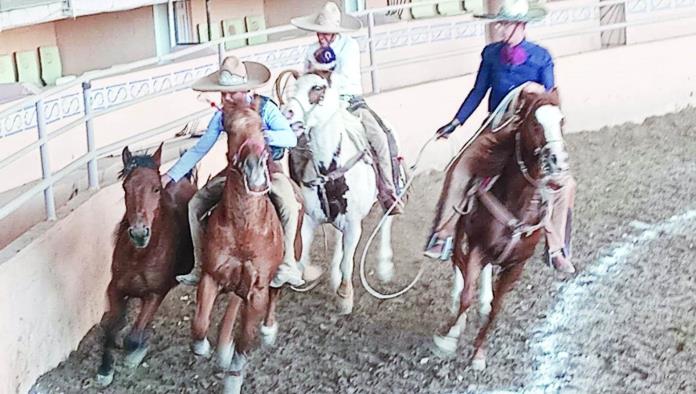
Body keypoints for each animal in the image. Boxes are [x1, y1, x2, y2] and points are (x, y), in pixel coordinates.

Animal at [96, 143, 197, 386]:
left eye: (156, 189)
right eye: (126, 187)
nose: (140, 233)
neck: (139, 256)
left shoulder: (154, 294)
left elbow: (132, 338)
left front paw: (136, 352)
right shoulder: (115, 288)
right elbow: (111, 328)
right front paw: (105, 369)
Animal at [189, 102, 290, 394]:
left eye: (262, 127)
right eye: (230, 128)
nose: (254, 169)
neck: (245, 230)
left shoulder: (257, 290)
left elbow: (245, 337)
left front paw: (234, 376)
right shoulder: (211, 277)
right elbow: (199, 323)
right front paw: (204, 347)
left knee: (275, 294)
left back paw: (268, 332)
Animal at [282, 73, 392, 314]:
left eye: (317, 87)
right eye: (293, 87)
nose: (287, 112)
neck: (330, 171)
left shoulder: (353, 225)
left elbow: (347, 261)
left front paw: (344, 297)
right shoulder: (311, 220)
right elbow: (303, 255)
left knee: (386, 220)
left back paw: (385, 266)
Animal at [430, 87, 572, 370]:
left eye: (561, 121)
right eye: (535, 124)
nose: (558, 163)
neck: (517, 204)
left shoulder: (516, 265)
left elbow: (497, 308)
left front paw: (479, 353)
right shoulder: (477, 247)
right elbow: (467, 294)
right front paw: (449, 340)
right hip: (459, 232)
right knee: (458, 264)